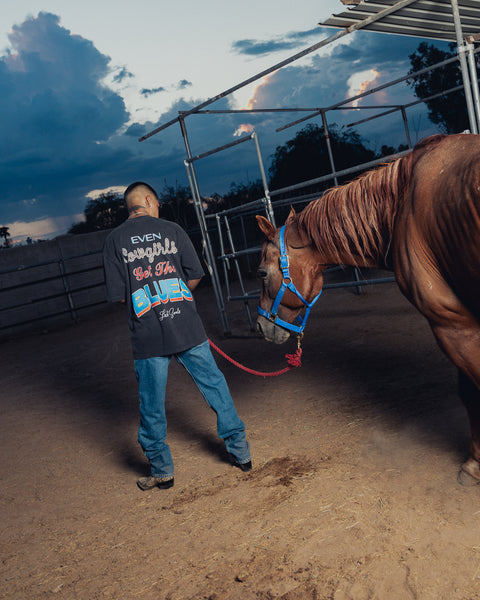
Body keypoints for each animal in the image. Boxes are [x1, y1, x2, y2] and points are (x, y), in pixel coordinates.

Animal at [258, 134, 480, 486]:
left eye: (262, 273)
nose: (260, 325)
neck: (401, 204)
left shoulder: (452, 323)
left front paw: (473, 467)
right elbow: (469, 392)